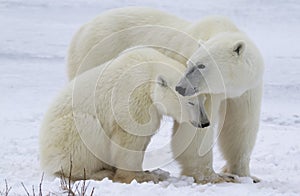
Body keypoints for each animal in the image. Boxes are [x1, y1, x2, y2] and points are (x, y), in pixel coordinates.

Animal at [39, 47, 211, 184]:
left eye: (202, 100)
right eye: (190, 102)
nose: (205, 123)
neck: (150, 69)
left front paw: (151, 172)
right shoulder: (133, 96)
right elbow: (130, 139)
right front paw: (141, 177)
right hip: (66, 133)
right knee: (87, 132)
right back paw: (100, 173)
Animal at [65, 6, 262, 183]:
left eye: (201, 65)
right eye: (190, 62)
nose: (180, 88)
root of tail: (82, 29)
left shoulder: (247, 89)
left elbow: (241, 125)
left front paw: (245, 175)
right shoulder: (205, 91)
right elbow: (194, 131)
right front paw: (211, 176)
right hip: (97, 55)